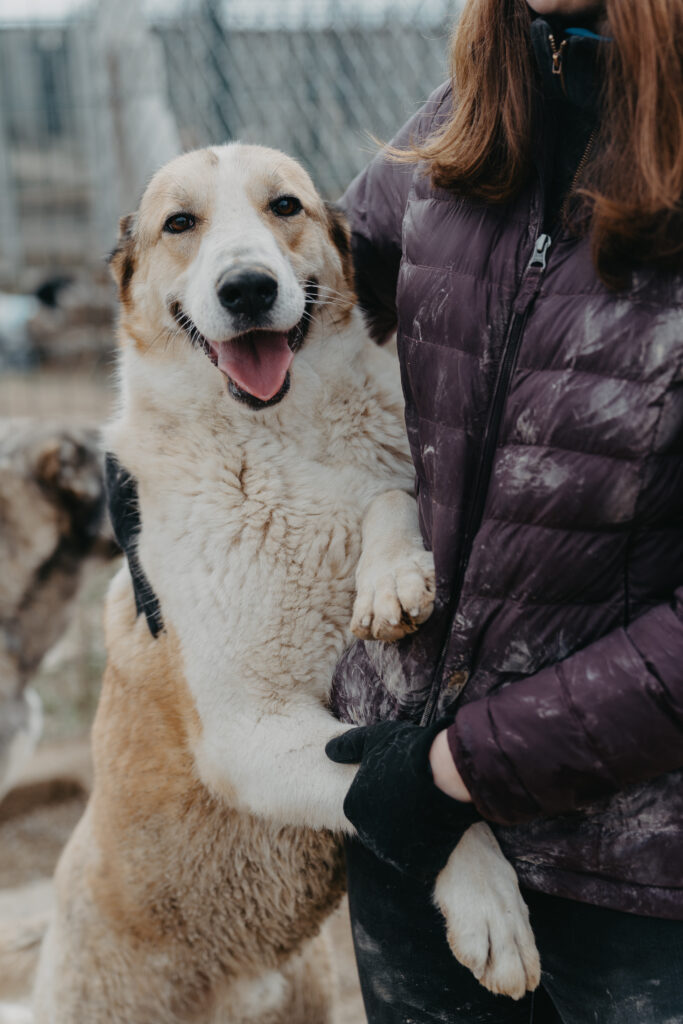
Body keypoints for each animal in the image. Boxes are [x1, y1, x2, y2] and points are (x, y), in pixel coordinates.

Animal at [29, 144, 540, 1022]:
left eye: (285, 207)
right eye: (180, 222)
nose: (246, 288)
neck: (277, 439)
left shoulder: (376, 479)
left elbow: (388, 496)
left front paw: (391, 578)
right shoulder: (251, 733)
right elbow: (387, 785)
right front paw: (489, 905)